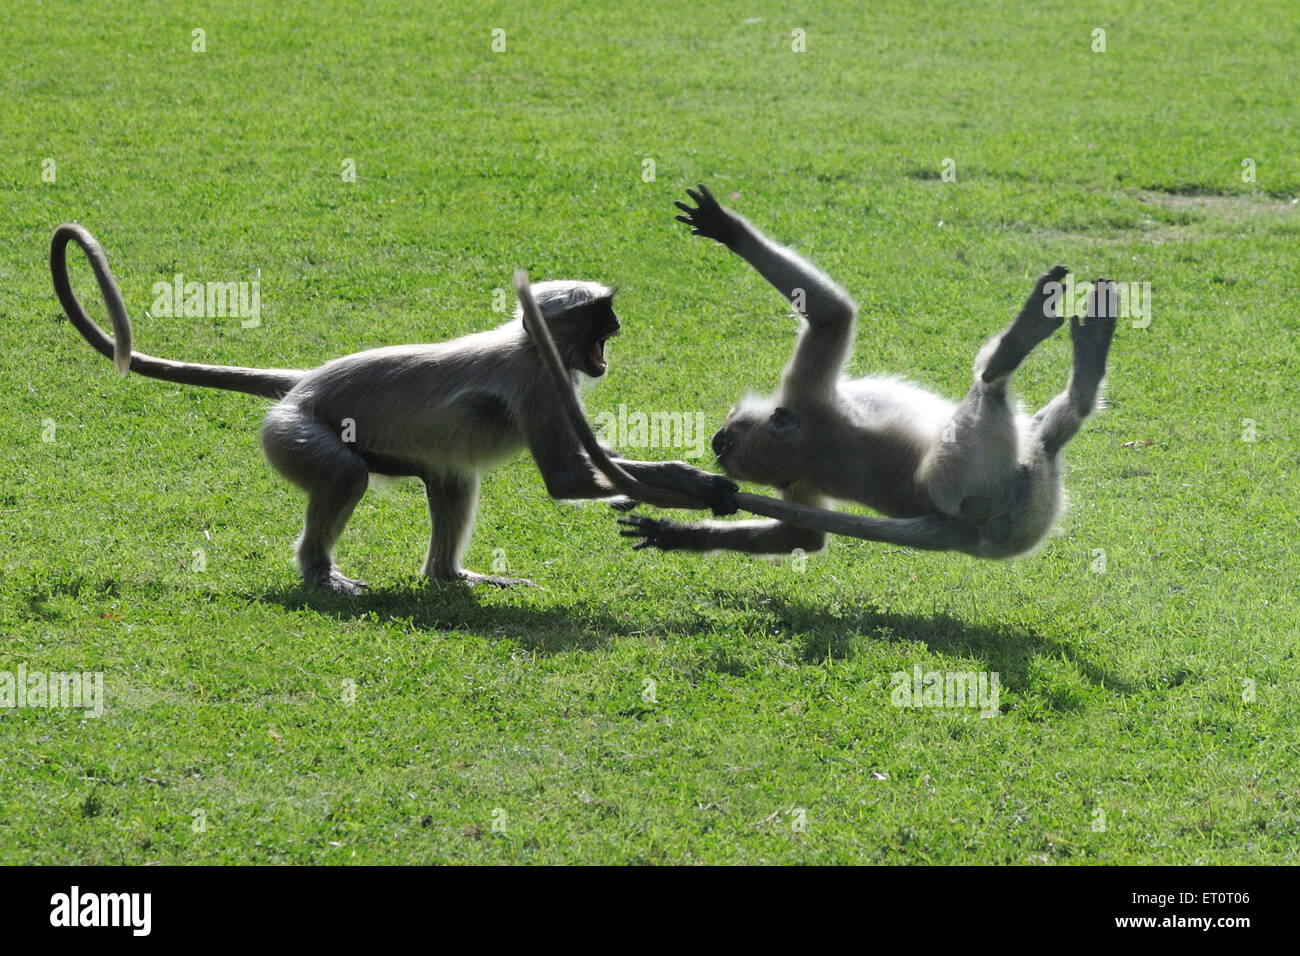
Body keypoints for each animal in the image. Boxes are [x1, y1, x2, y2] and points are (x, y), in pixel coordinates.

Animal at [50, 227, 738, 595]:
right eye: (600, 319)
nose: (613, 333)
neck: (526, 345)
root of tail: (301, 383)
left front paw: (694, 483)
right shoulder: (538, 382)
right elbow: (568, 478)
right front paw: (692, 498)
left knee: (453, 482)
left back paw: (449, 577)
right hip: (292, 432)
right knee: (345, 474)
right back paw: (320, 573)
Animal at [618, 185, 1118, 561]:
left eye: (727, 435)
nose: (716, 438)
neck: (804, 448)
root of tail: (972, 531)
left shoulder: (799, 456)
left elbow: (800, 537)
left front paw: (675, 533)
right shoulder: (805, 399)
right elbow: (834, 315)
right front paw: (730, 230)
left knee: (1047, 431)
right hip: (978, 470)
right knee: (992, 391)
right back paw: (1024, 349)